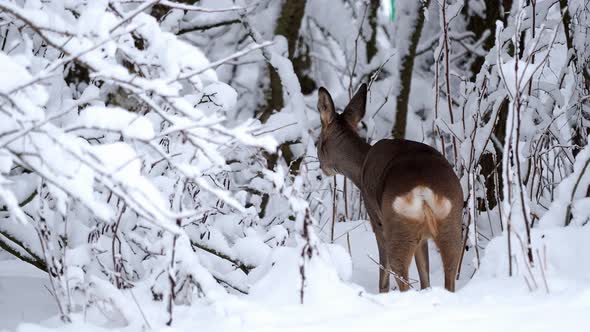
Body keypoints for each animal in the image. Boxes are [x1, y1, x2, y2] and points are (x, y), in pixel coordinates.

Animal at [316, 84, 464, 292]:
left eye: (317, 142)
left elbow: (383, 274)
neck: (361, 166)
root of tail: (423, 190)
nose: (321, 168)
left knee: (399, 272)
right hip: (451, 223)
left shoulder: (374, 214)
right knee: (448, 275)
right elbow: (425, 275)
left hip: (397, 224)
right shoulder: (423, 238)